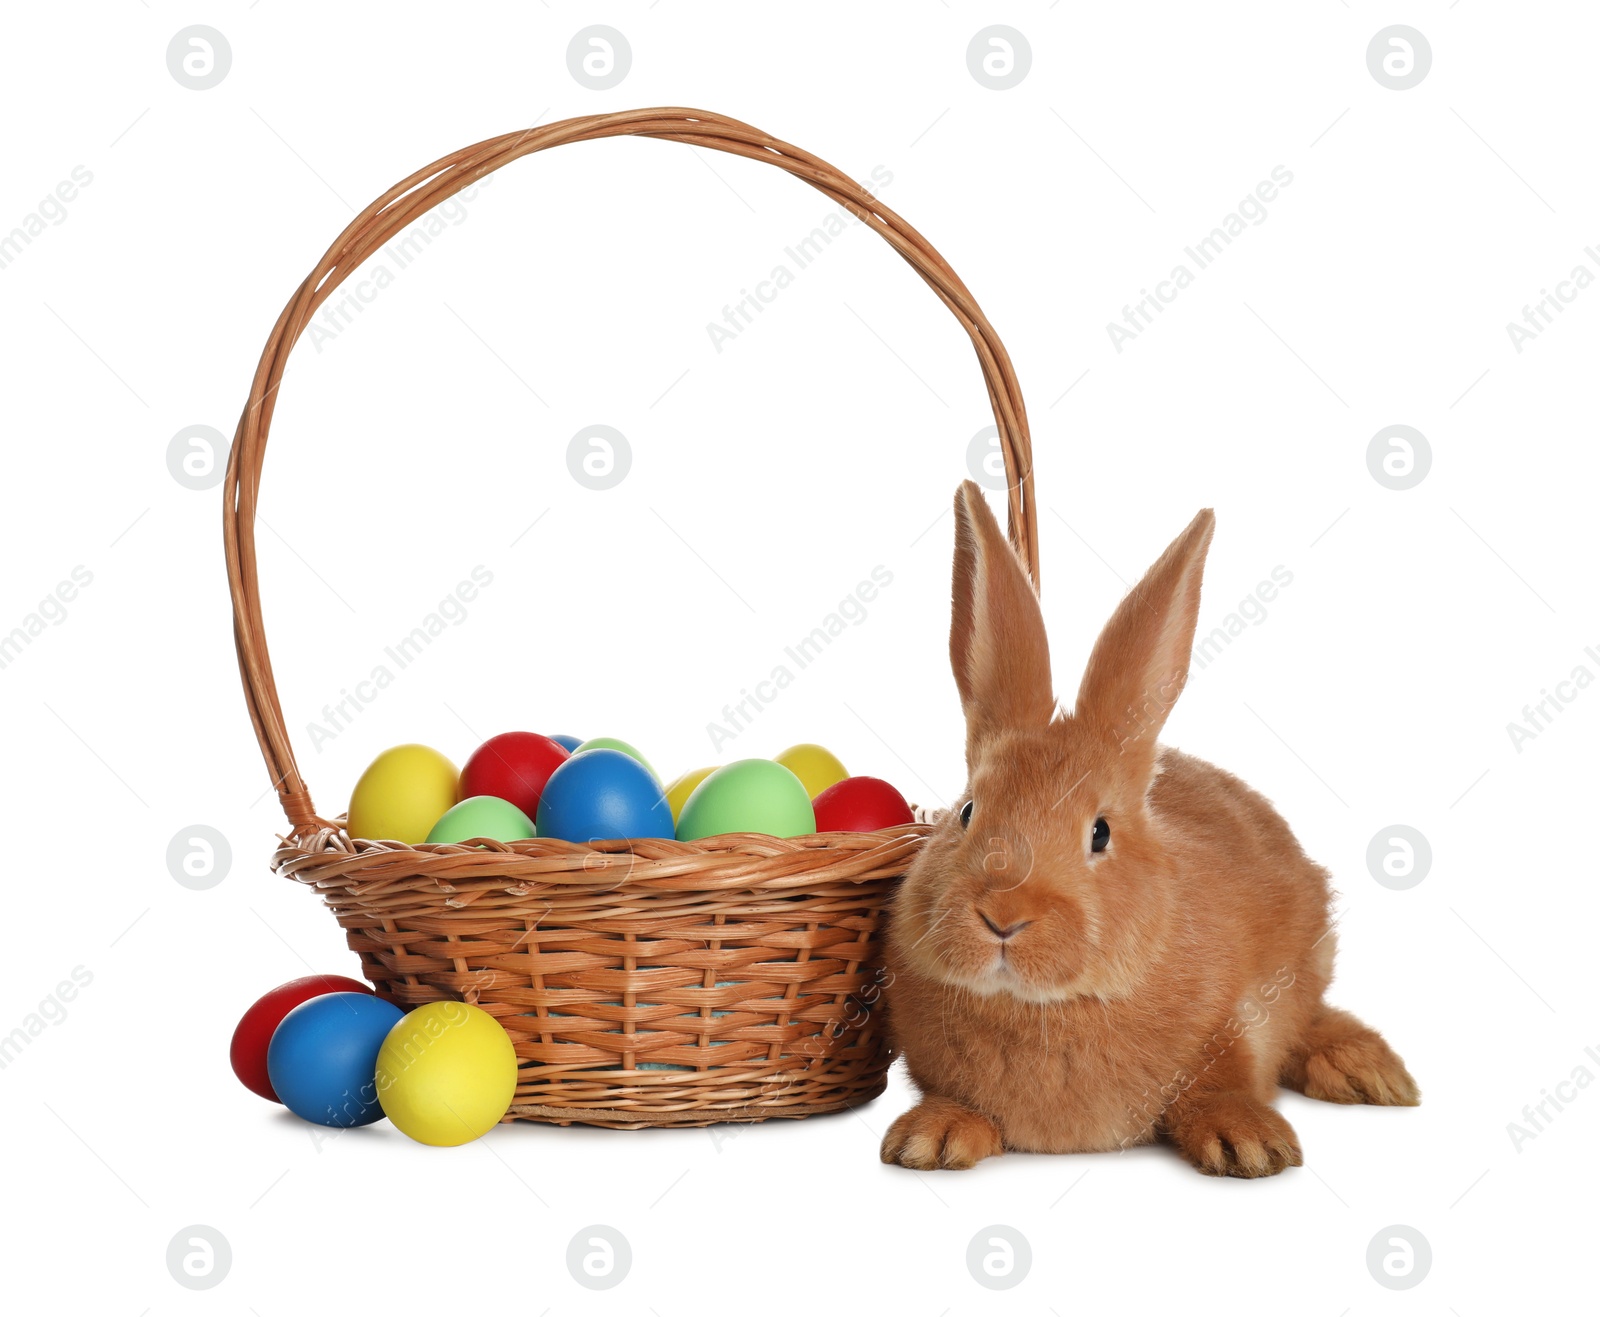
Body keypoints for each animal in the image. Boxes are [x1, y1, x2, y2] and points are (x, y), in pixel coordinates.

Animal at [883, 480, 1420, 1177]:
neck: (1048, 1008)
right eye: (969, 811)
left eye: (1100, 834)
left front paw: (1251, 1144)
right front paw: (932, 1137)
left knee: (1311, 1020)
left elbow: (1223, 1079)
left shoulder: (1234, 1023)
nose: (1003, 914)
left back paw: (1368, 1071)